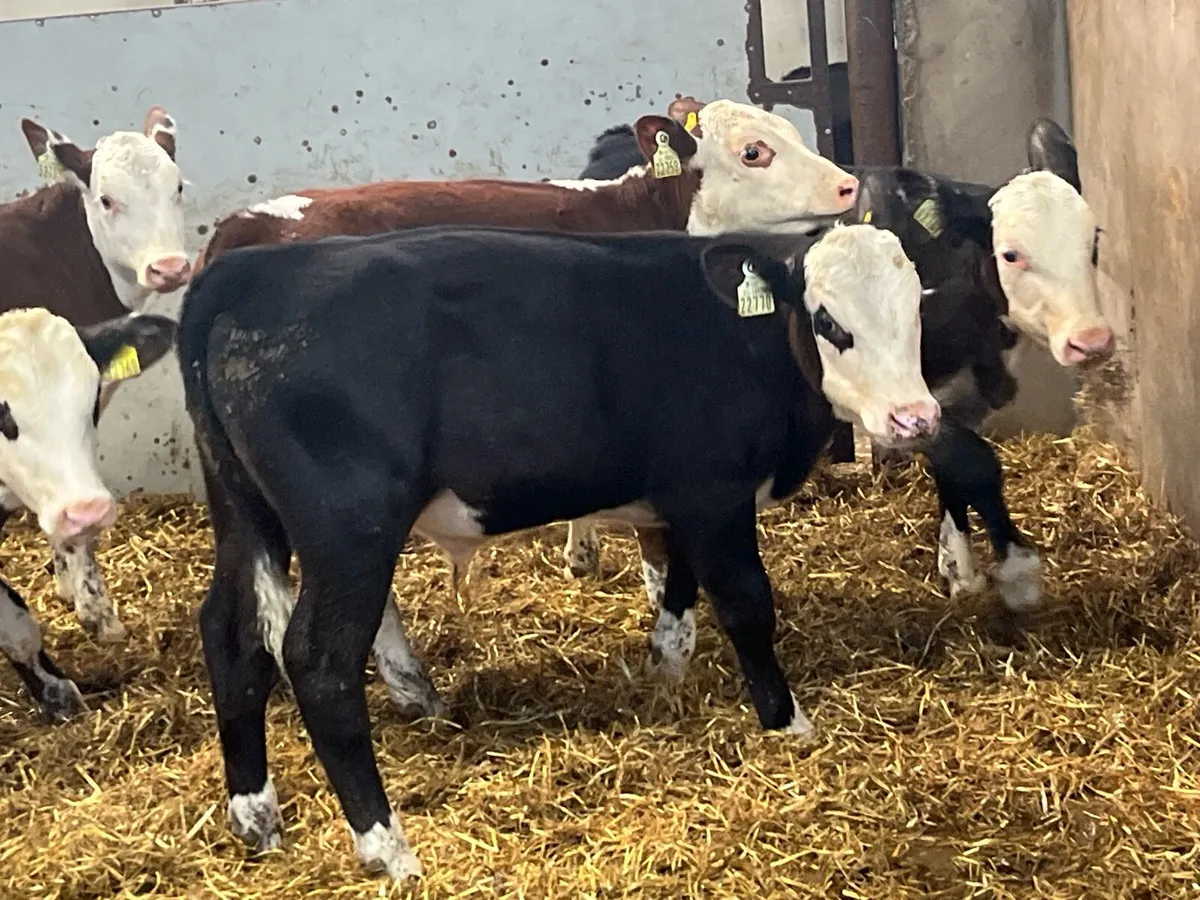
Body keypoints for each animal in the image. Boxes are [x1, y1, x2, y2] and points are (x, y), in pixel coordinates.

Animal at [177, 221, 937, 881]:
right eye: (829, 321)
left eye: (915, 310)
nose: (916, 419)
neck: (737, 338)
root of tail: (251, 270)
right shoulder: (714, 492)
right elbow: (746, 605)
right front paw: (787, 723)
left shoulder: (680, 499)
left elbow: (678, 593)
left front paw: (664, 673)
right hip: (348, 528)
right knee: (319, 660)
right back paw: (387, 846)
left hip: (244, 513)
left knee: (229, 632)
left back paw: (254, 813)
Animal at [193, 96, 860, 718]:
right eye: (754, 152)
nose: (847, 185)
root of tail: (240, 233)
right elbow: (661, 547)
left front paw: (584, 555)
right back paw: (415, 689)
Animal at [572, 109, 1112, 631]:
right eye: (1012, 254)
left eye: (1094, 244)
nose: (1092, 339)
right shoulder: (892, 400)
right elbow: (973, 463)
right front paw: (1016, 574)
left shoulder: (950, 400)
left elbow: (952, 475)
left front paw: (957, 568)